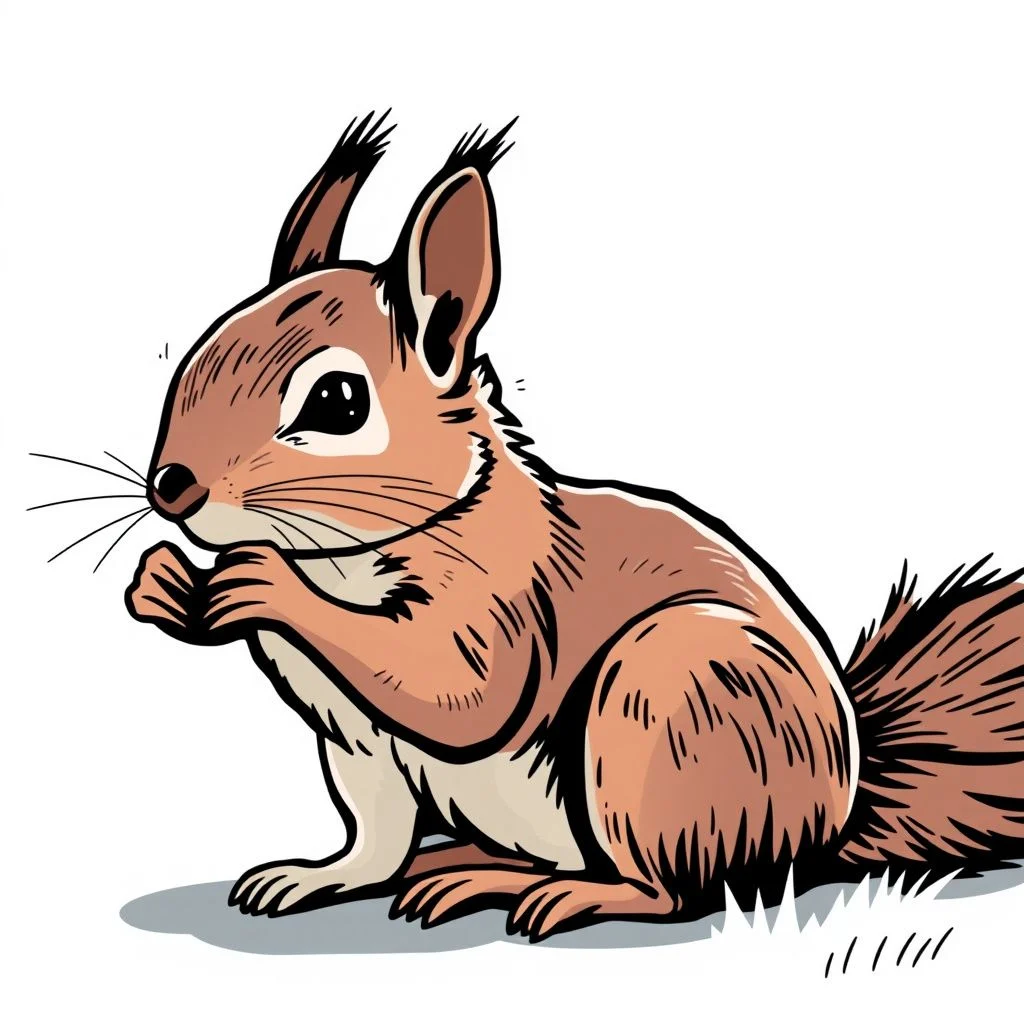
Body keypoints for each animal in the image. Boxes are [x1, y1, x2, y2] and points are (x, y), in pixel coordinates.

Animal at [125, 113, 1024, 941]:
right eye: (200, 352)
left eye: (337, 401)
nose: (172, 487)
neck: (341, 558)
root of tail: (832, 818)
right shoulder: (354, 741)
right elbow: (372, 840)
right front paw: (164, 588)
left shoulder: (500, 599)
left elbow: (455, 690)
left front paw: (262, 581)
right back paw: (460, 866)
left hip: (667, 702)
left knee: (672, 889)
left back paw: (554, 891)